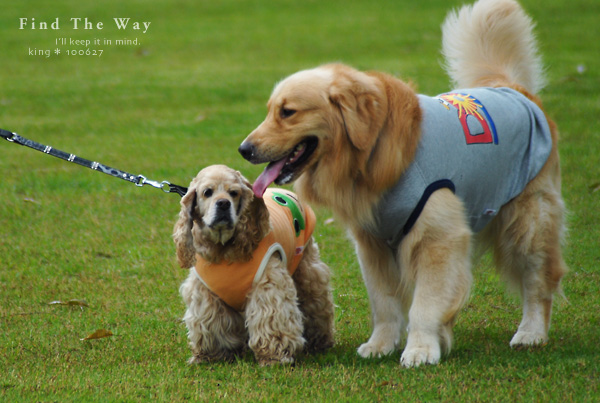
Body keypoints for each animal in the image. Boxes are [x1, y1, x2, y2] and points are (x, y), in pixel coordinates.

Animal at [238, 0, 568, 368]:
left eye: (288, 112)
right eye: (270, 111)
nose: (244, 149)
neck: (370, 158)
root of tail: (512, 88)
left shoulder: (438, 239)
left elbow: (425, 304)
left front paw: (421, 348)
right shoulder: (372, 243)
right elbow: (384, 303)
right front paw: (381, 344)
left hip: (529, 222)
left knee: (540, 281)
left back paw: (531, 332)